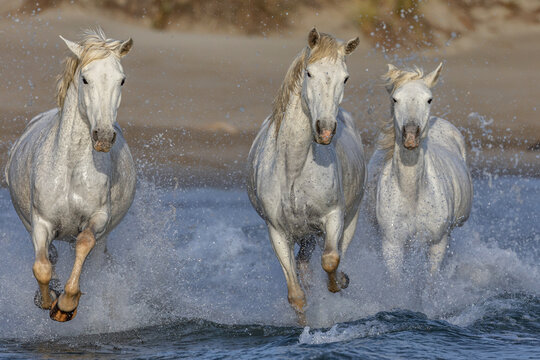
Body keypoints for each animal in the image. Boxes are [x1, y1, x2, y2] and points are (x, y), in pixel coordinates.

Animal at [5, 28, 136, 320]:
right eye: (85, 79)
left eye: (122, 80)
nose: (103, 137)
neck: (70, 169)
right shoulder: (41, 222)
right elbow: (41, 268)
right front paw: (47, 301)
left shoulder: (98, 218)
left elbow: (84, 242)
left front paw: (65, 304)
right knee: (50, 256)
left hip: (103, 239)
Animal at [248, 28, 368, 324]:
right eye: (309, 73)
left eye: (345, 78)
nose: (325, 130)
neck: (293, 169)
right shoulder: (277, 231)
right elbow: (297, 296)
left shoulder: (333, 217)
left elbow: (331, 260)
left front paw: (338, 283)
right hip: (304, 235)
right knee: (303, 267)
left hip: (347, 220)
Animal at [368, 63, 472, 280]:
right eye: (395, 98)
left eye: (429, 99)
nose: (410, 137)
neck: (412, 194)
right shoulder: (392, 245)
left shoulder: (437, 244)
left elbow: (430, 282)